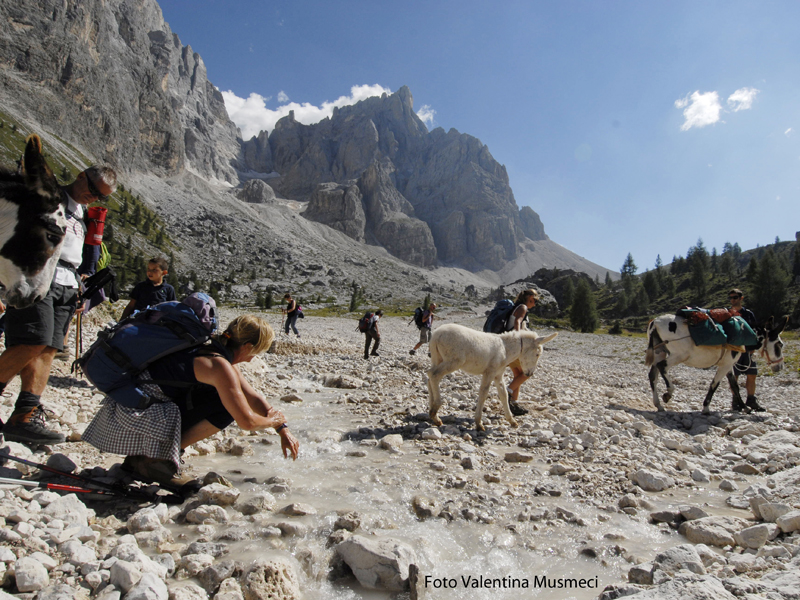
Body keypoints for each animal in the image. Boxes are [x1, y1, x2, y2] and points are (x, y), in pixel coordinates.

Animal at [424, 324, 556, 432]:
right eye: (537, 354)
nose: (529, 374)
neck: (505, 349)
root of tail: (437, 334)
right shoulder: (490, 372)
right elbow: (483, 393)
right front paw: (479, 424)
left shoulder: (498, 374)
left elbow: (503, 394)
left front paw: (512, 421)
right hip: (453, 361)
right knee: (434, 375)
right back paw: (435, 409)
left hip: (437, 358)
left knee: (430, 375)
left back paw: (433, 414)